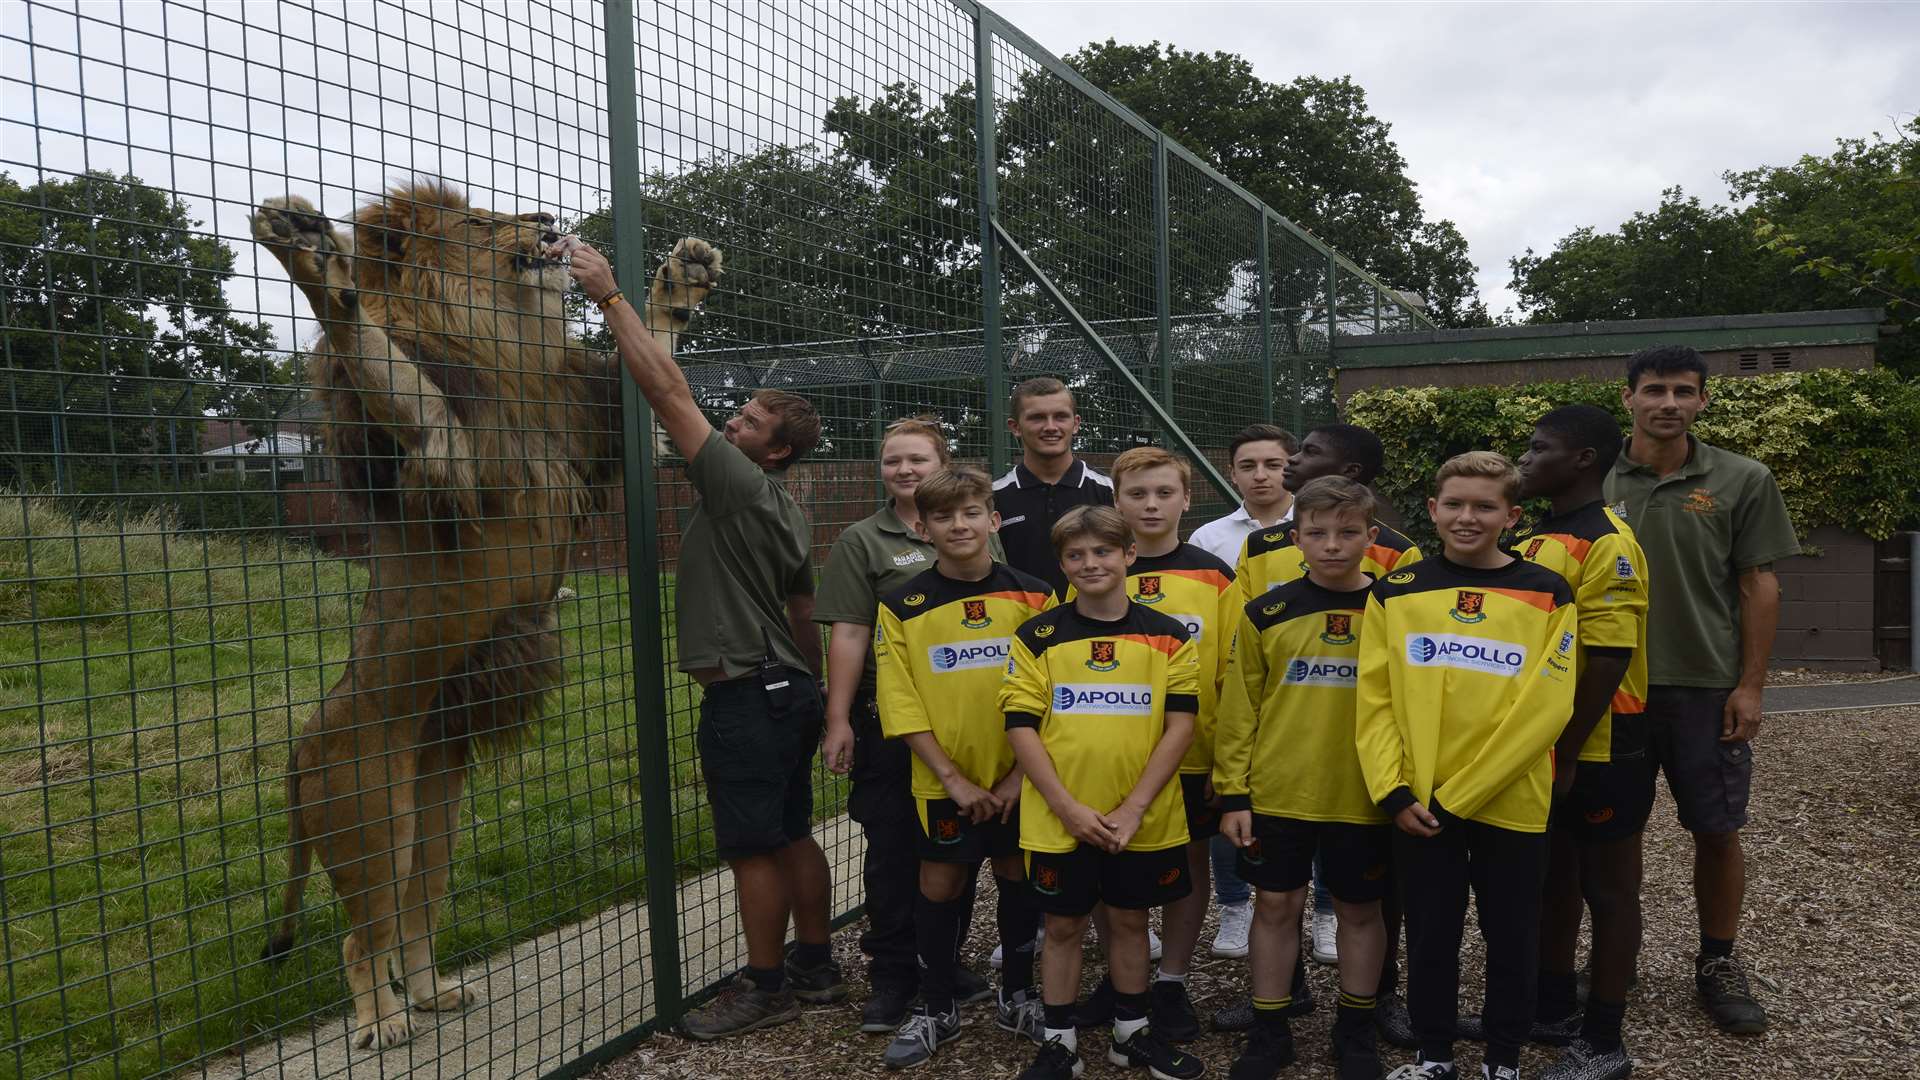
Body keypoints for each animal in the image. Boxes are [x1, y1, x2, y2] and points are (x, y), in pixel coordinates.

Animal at [243, 180, 718, 1045]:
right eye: (479, 222)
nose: (545, 222)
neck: (504, 341)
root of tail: (298, 752)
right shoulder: (438, 436)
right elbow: (377, 355)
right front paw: (314, 260)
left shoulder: (591, 427)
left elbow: (655, 362)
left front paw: (680, 281)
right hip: (371, 821)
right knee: (361, 938)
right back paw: (384, 1022)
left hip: (436, 807)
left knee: (414, 918)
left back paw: (431, 994)